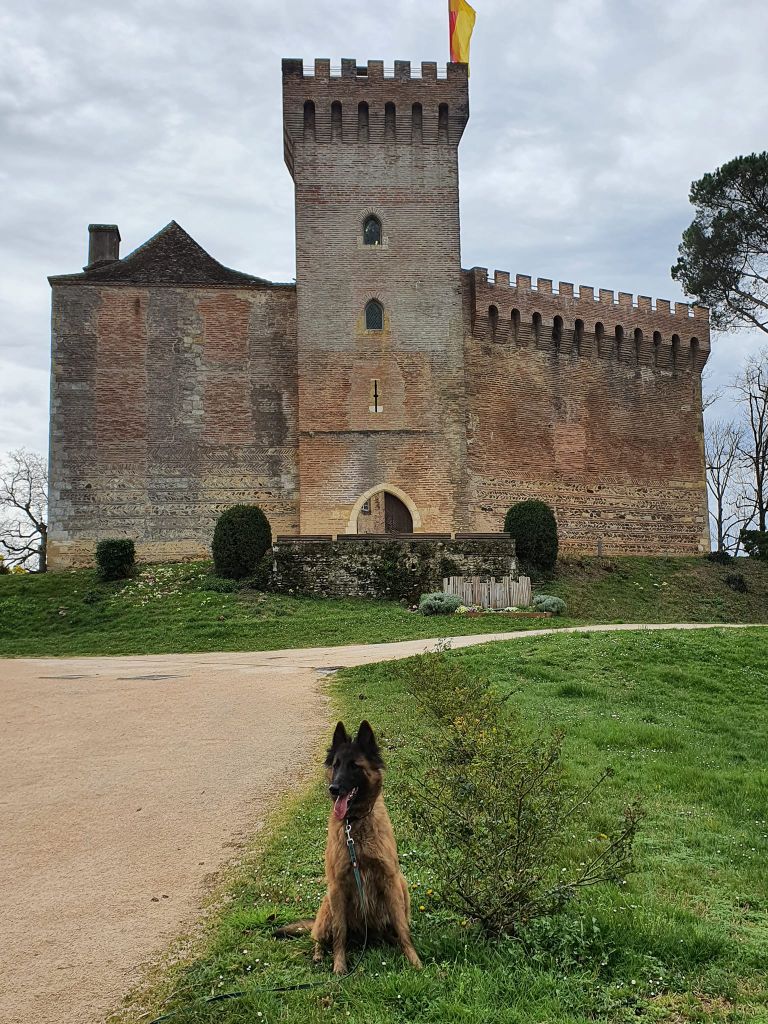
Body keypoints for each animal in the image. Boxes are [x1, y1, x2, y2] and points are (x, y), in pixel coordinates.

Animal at [276, 720, 421, 974]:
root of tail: (367, 936)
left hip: (402, 886)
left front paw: (414, 960)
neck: (354, 825)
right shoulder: (338, 886)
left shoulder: (390, 879)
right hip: (327, 903)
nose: (333, 789)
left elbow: (403, 928)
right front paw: (339, 967)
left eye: (354, 766)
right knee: (318, 937)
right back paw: (319, 955)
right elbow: (339, 934)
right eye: (336, 765)